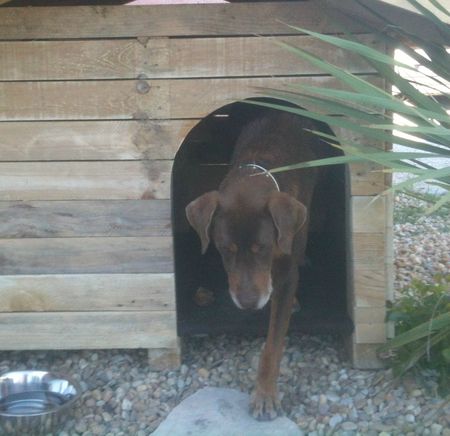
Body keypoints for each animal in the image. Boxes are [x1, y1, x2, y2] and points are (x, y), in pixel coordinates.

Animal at [185, 108, 330, 418]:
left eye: (262, 248)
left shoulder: (286, 268)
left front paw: (265, 394)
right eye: (224, 249)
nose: (249, 303)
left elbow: (273, 345)